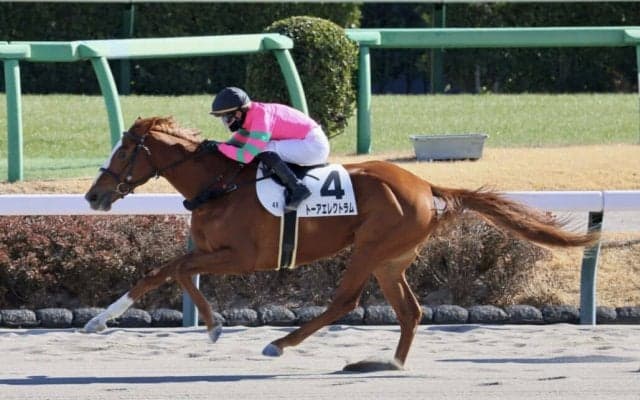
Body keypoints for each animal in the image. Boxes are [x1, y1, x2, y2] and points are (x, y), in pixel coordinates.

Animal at [83, 116, 598, 370]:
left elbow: (168, 269)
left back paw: (280, 344)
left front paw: (102, 320)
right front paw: (205, 326)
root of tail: (426, 186)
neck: (221, 184)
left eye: (123, 151)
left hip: (370, 249)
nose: (93, 196)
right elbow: (175, 271)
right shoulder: (212, 251)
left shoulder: (244, 256)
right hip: (391, 259)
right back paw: (391, 363)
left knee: (345, 302)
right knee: (410, 311)